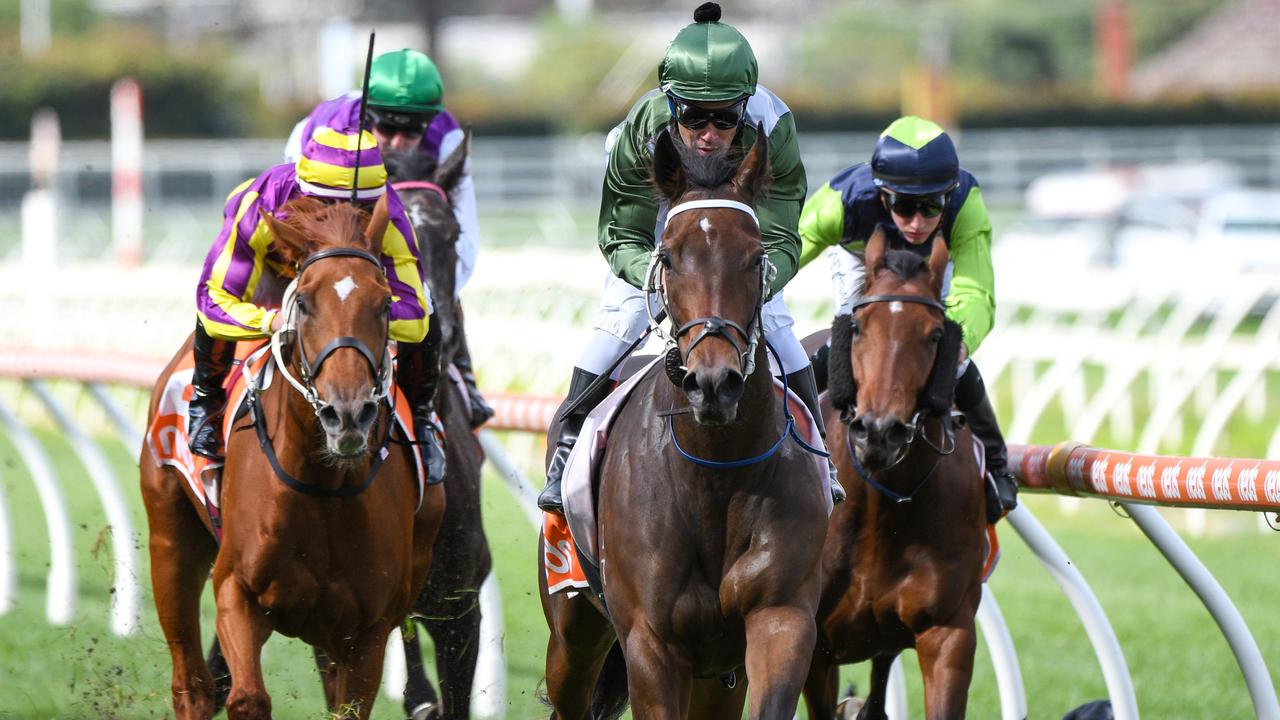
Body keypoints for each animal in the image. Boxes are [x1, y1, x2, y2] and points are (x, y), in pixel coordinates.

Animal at [139, 193, 448, 712]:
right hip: (170, 542)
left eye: (384, 303)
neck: (324, 487)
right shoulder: (237, 592)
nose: (348, 414)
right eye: (302, 302)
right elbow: (246, 698)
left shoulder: (368, 631)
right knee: (192, 687)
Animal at [540, 128, 829, 717]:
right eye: (669, 258)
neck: (714, 474)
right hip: (572, 636)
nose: (713, 383)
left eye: (756, 256)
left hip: (716, 675)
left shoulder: (781, 618)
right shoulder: (651, 641)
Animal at [798, 229, 988, 717]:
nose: (880, 432)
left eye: (935, 334)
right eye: (859, 327)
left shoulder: (948, 633)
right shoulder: (814, 647)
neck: (882, 506)